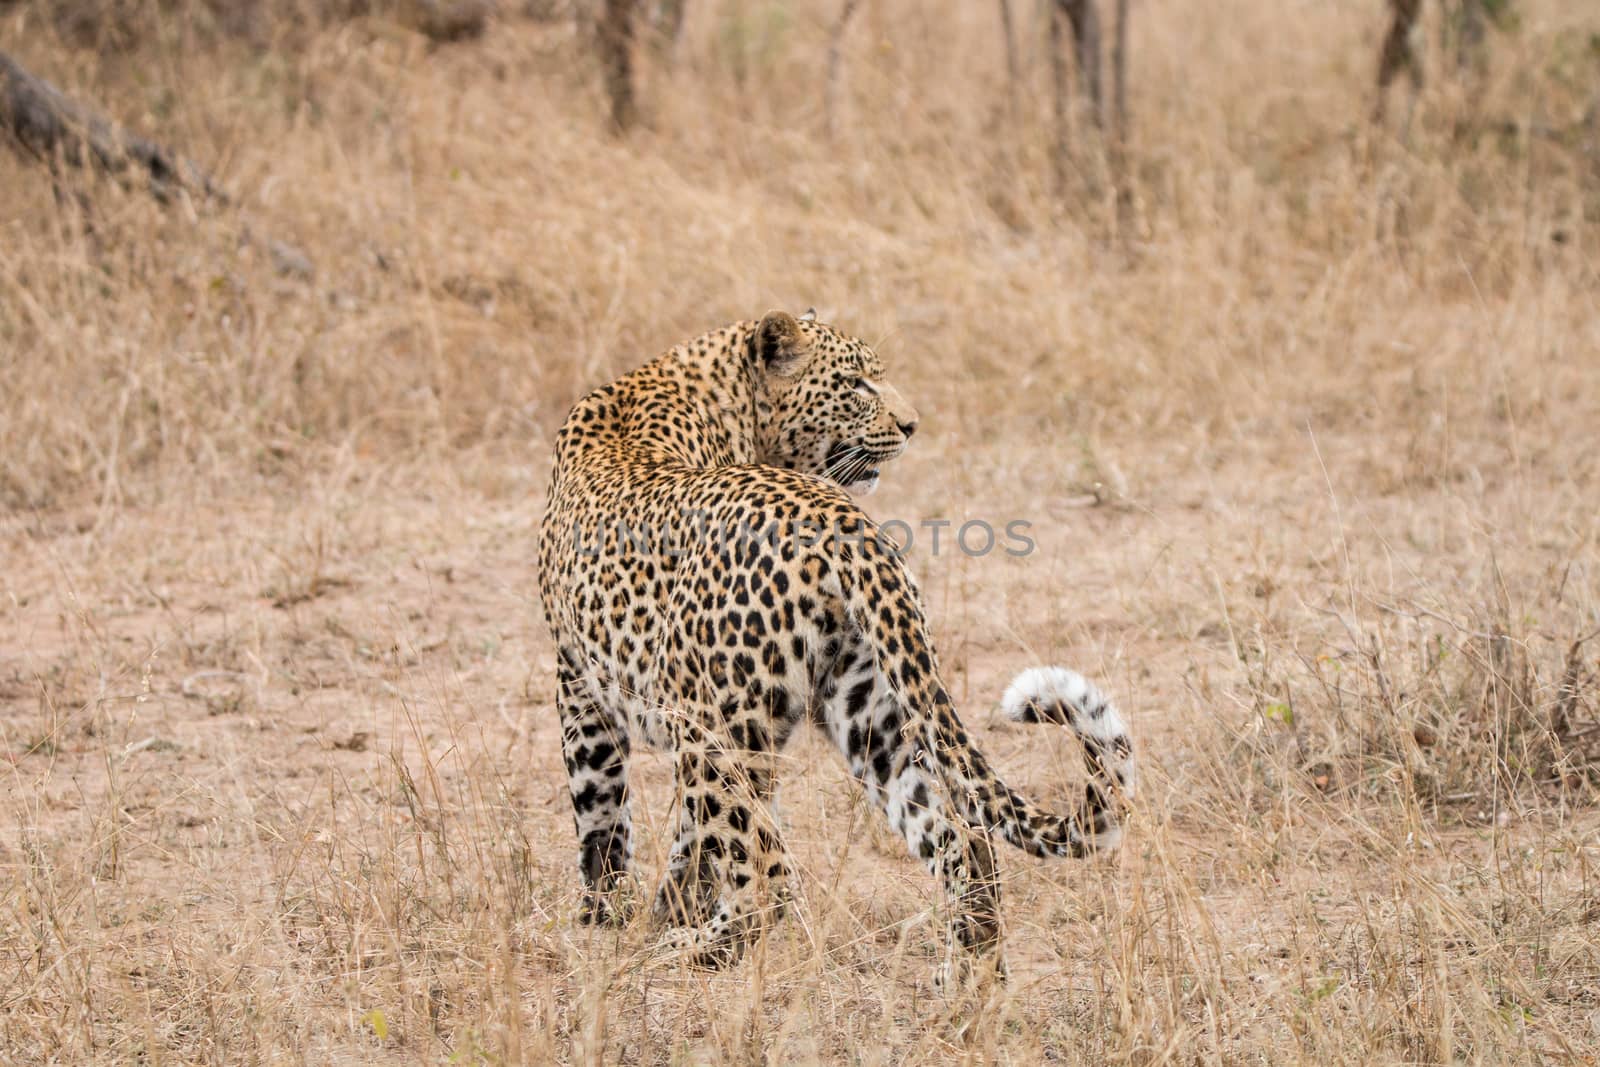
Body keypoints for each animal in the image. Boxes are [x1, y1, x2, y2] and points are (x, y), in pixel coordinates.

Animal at [537, 307, 1139, 979]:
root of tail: (839, 520)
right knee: (962, 839)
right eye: (855, 383)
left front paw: (607, 918)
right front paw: (656, 912)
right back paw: (969, 976)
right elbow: (683, 838)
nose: (912, 425)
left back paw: (696, 949)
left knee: (769, 880)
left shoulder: (579, 681)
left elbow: (600, 810)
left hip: (714, 728)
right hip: (871, 704)